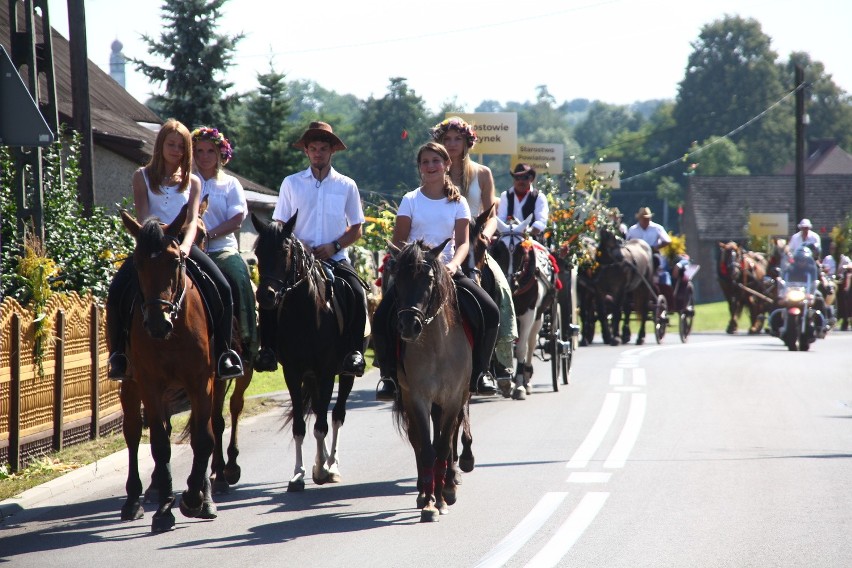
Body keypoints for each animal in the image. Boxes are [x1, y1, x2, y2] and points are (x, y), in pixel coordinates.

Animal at [120, 205, 220, 532]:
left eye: (175, 260)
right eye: (137, 263)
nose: (157, 323)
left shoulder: (203, 382)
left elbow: (204, 438)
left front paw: (195, 498)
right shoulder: (149, 385)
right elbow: (160, 445)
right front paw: (165, 509)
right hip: (129, 385)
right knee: (133, 433)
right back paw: (135, 500)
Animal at [253, 211, 360, 490]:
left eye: (284, 250)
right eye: (258, 252)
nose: (266, 296)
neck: (306, 313)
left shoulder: (326, 372)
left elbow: (322, 424)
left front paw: (322, 471)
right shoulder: (293, 372)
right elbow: (301, 426)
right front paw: (299, 473)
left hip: (345, 374)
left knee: (336, 416)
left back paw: (331, 465)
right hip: (310, 377)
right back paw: (320, 462)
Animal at [388, 237, 472, 520]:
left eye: (428, 279)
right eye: (397, 279)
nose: (408, 326)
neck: (436, 345)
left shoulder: (454, 398)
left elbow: (444, 445)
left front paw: (444, 496)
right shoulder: (417, 398)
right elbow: (426, 448)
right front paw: (429, 503)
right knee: (417, 440)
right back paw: (425, 491)